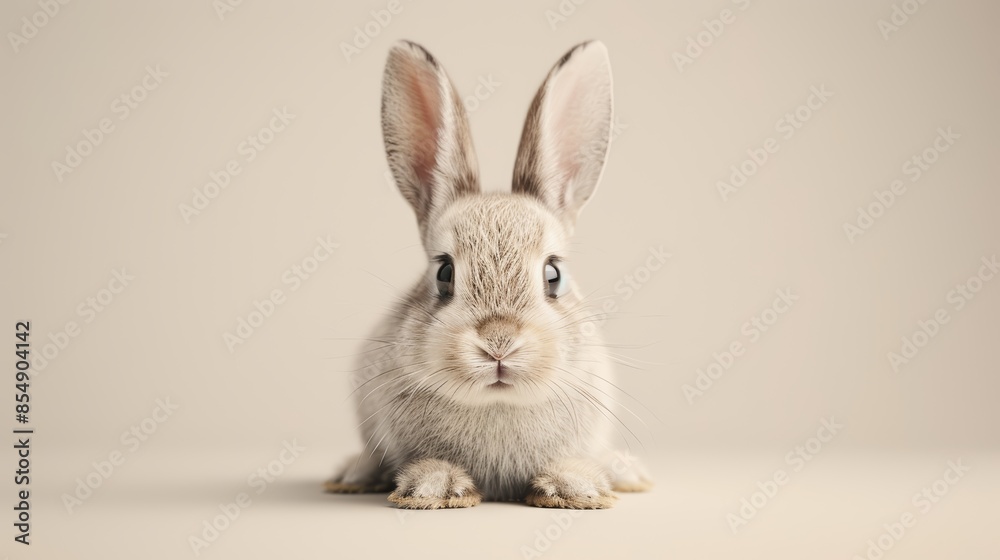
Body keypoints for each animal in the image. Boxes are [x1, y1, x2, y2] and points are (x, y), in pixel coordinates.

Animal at [325, 39, 652, 509]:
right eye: (444, 273)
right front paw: (434, 487)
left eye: (553, 275)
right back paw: (353, 474)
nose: (499, 343)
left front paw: (575, 486)